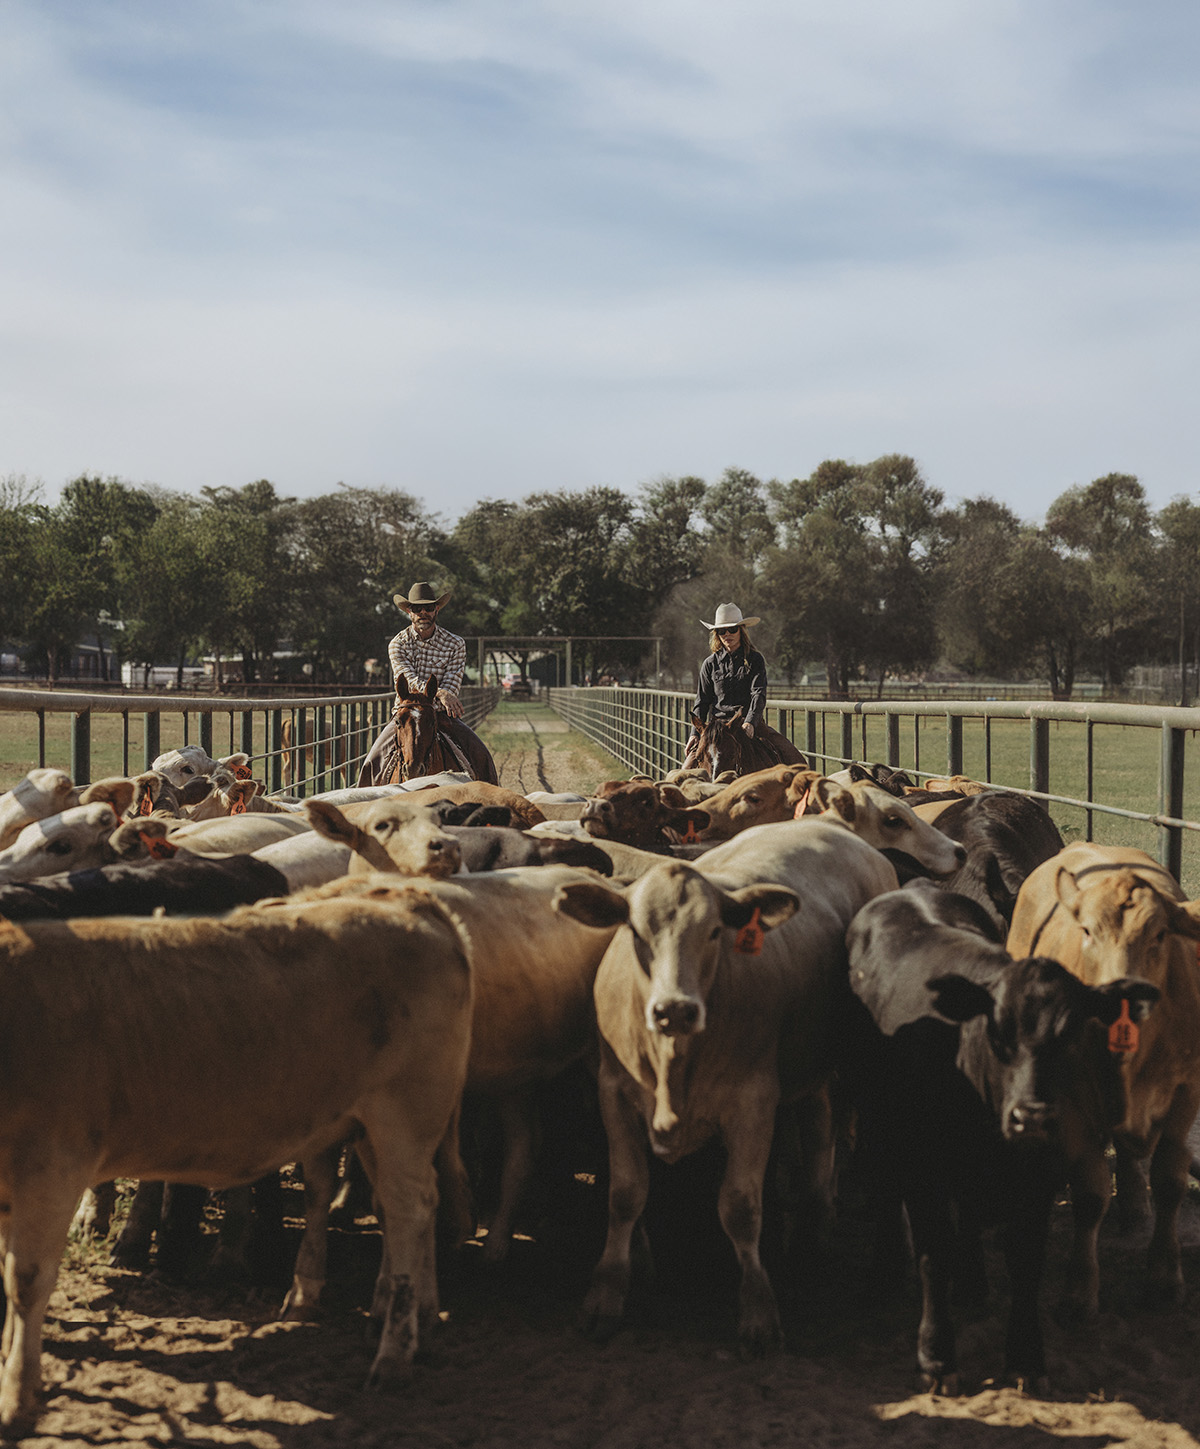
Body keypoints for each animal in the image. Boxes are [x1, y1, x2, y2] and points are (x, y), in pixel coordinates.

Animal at [0, 892, 473, 1433]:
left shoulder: (52, 1168)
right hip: (368, 1125)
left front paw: (17, 1398)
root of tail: (404, 899)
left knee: (409, 1209)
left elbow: (25, 1282)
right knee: (406, 1209)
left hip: (406, 1113)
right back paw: (412, 1318)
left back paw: (393, 1355)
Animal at [553, 817, 900, 1351]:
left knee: (824, 1136)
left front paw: (758, 1310)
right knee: (818, 1120)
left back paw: (817, 1227)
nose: (675, 1009)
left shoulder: (753, 1103)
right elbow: (625, 1195)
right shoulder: (612, 1093)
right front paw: (605, 1295)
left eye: (715, 931)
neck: (674, 1063)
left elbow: (740, 1208)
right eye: (635, 930)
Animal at [846, 879, 1159, 1392]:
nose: (1031, 1116)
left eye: (1071, 1033)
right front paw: (936, 1356)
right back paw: (884, 1273)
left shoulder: (1041, 1176)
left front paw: (1027, 1358)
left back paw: (973, 1281)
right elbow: (934, 1254)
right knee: (886, 1186)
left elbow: (1025, 1260)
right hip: (873, 1112)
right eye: (997, 1032)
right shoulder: (925, 1170)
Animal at [1007, 843, 1200, 1318]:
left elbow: (1170, 1180)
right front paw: (1079, 1291)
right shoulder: (1072, 1098)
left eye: (1158, 936)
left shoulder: (1185, 1094)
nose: (1122, 997)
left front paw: (1164, 1275)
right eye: (1087, 931)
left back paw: (1134, 1204)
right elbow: (1090, 1194)